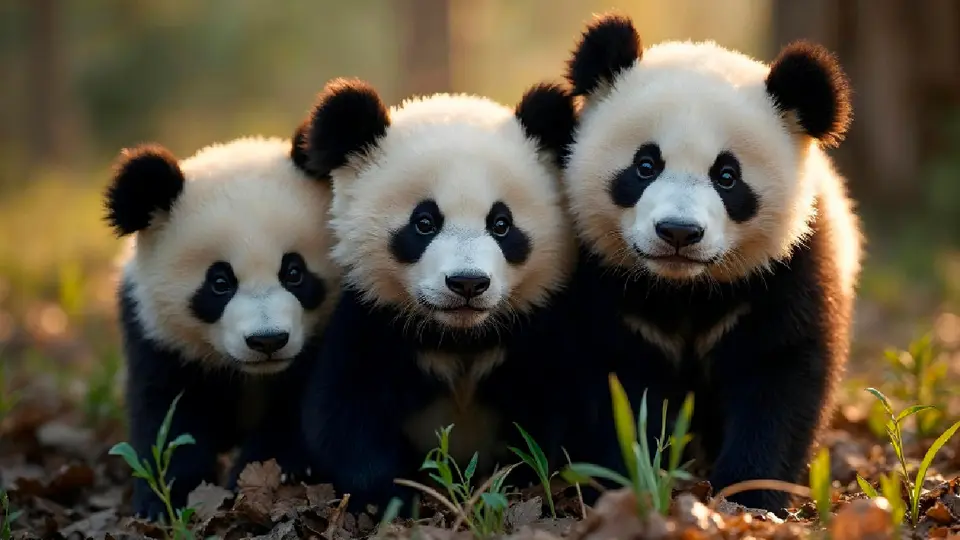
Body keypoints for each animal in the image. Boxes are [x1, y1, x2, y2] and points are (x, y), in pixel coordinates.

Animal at [104, 122, 340, 519]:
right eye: (219, 282)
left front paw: (267, 475)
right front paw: (168, 500)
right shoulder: (156, 334)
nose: (267, 340)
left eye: (294, 272)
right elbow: (168, 414)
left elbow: (298, 411)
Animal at [298, 78, 579, 513]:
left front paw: (511, 486)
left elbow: (549, 415)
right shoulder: (372, 322)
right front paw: (398, 499)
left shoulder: (535, 328)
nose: (467, 283)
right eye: (424, 222)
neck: (459, 336)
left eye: (501, 224)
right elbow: (343, 420)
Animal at [561, 13, 862, 514]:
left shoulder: (789, 268)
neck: (684, 288)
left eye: (727, 176)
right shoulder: (601, 282)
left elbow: (778, 376)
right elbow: (618, 386)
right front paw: (631, 480)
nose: (679, 232)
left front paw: (748, 497)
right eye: (645, 166)